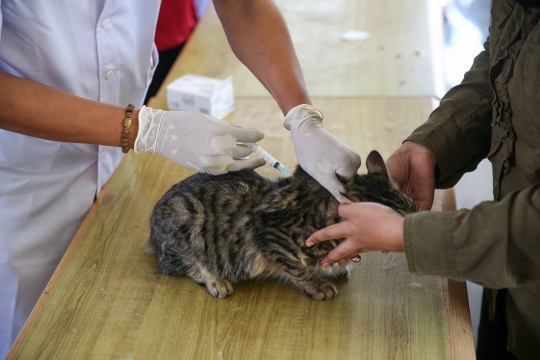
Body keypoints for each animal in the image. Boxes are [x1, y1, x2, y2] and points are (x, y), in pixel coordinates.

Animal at [148, 150, 414, 300]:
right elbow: (297, 267)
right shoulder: (270, 235)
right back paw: (216, 281)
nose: (416, 215)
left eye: (411, 205)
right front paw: (318, 285)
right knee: (186, 264)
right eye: (396, 217)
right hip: (186, 218)